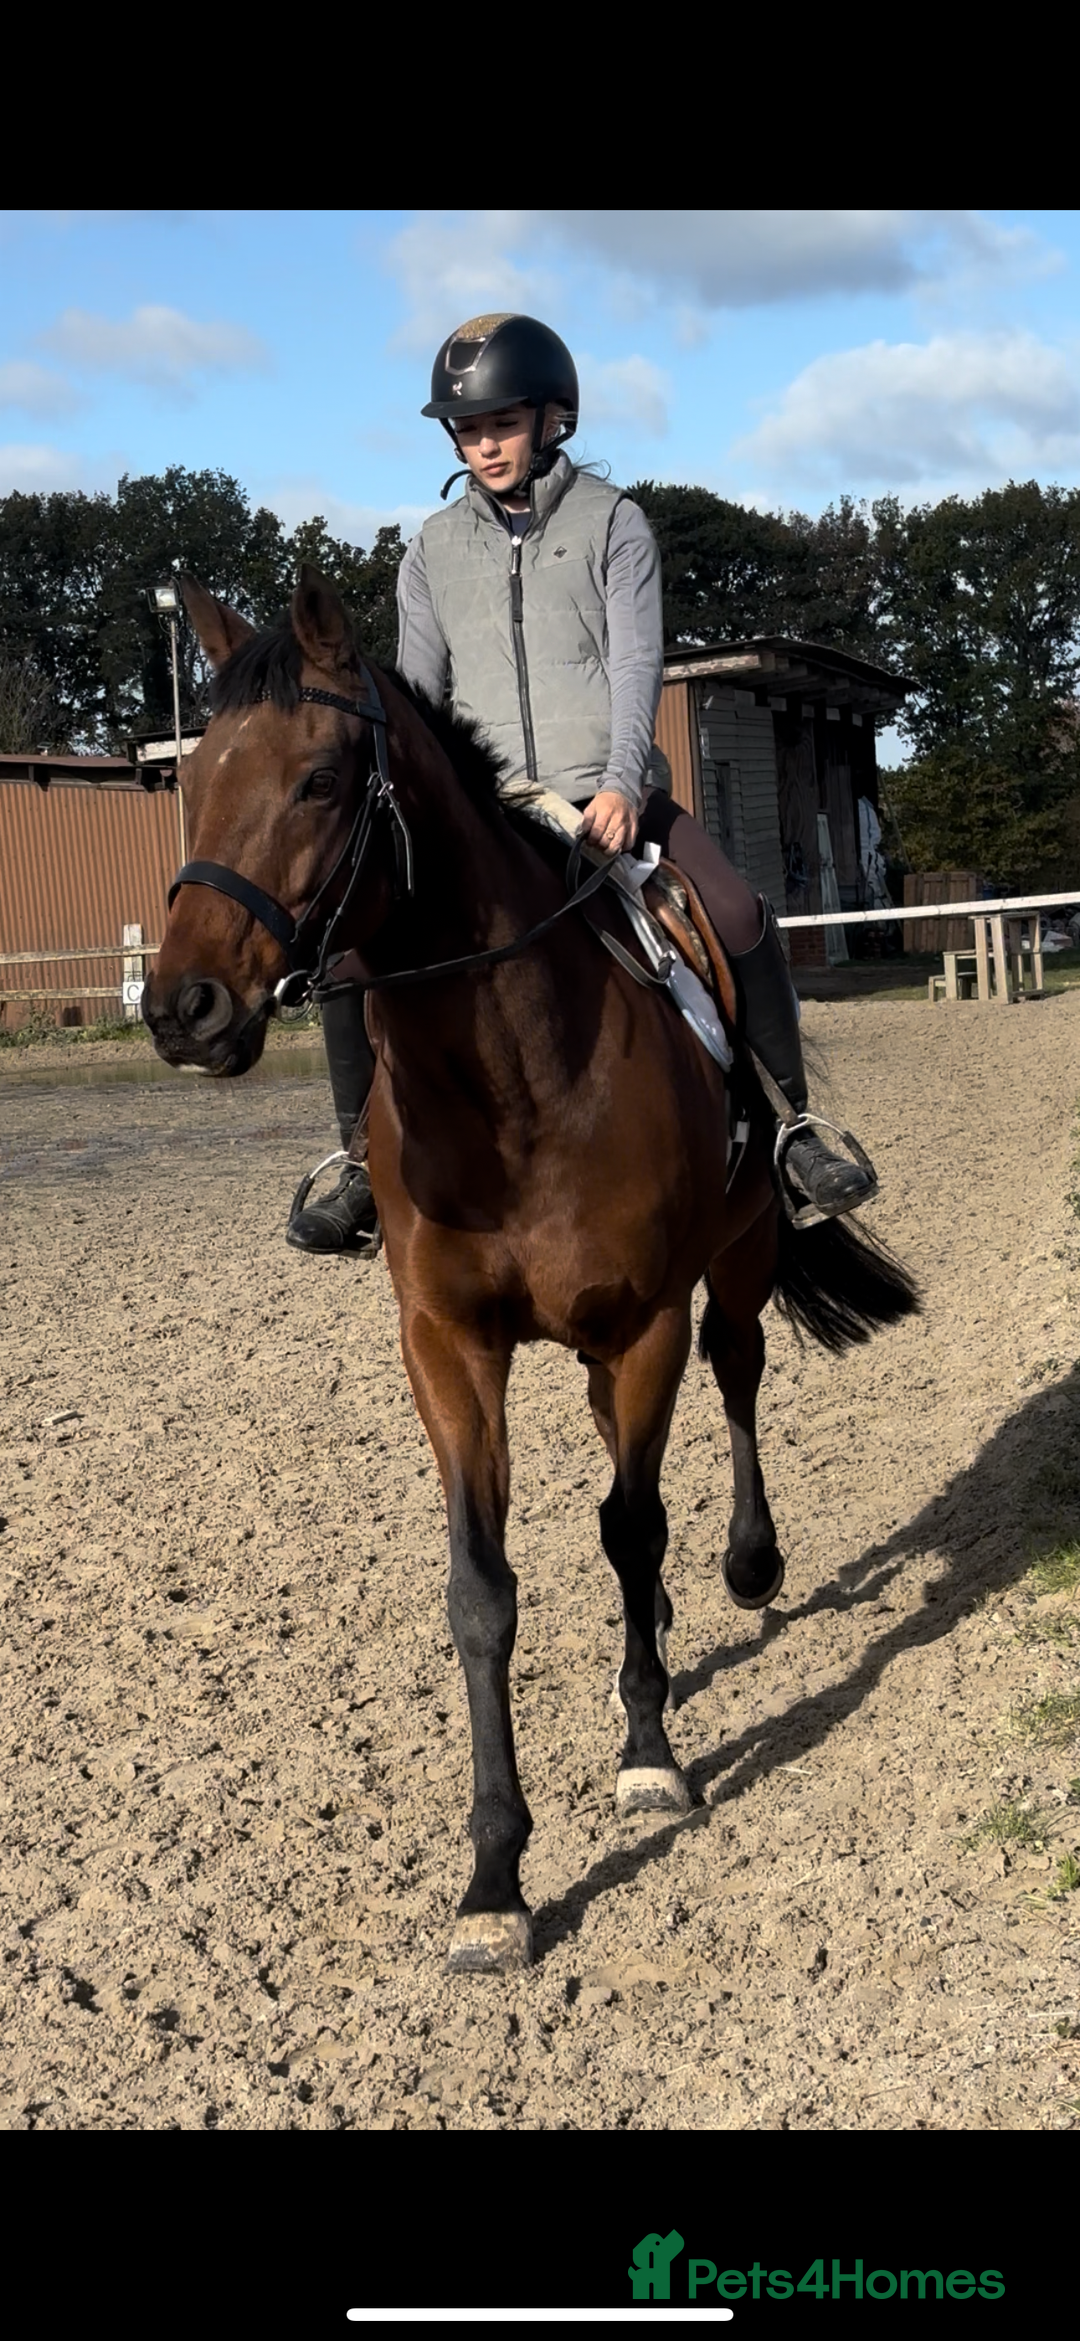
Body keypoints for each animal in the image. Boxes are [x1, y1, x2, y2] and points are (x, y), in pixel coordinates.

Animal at [142, 566, 919, 1974]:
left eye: (323, 778)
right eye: (197, 779)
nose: (184, 1010)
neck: (510, 1082)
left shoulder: (644, 1323)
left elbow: (629, 1526)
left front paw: (652, 1755)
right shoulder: (448, 1348)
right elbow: (482, 1592)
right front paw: (494, 1877)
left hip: (735, 1259)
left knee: (737, 1379)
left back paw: (745, 1567)